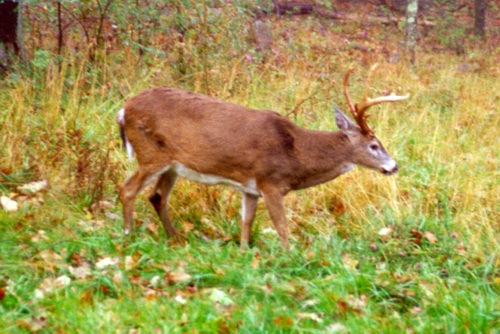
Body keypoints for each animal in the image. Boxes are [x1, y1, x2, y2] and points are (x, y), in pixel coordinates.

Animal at [118, 68, 410, 249]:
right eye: (374, 145)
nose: (394, 166)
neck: (296, 153)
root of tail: (123, 110)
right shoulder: (271, 182)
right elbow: (282, 226)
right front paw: (289, 256)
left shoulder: (250, 188)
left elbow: (246, 221)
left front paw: (243, 252)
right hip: (151, 154)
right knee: (128, 189)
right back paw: (128, 236)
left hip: (173, 165)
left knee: (157, 196)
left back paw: (176, 238)